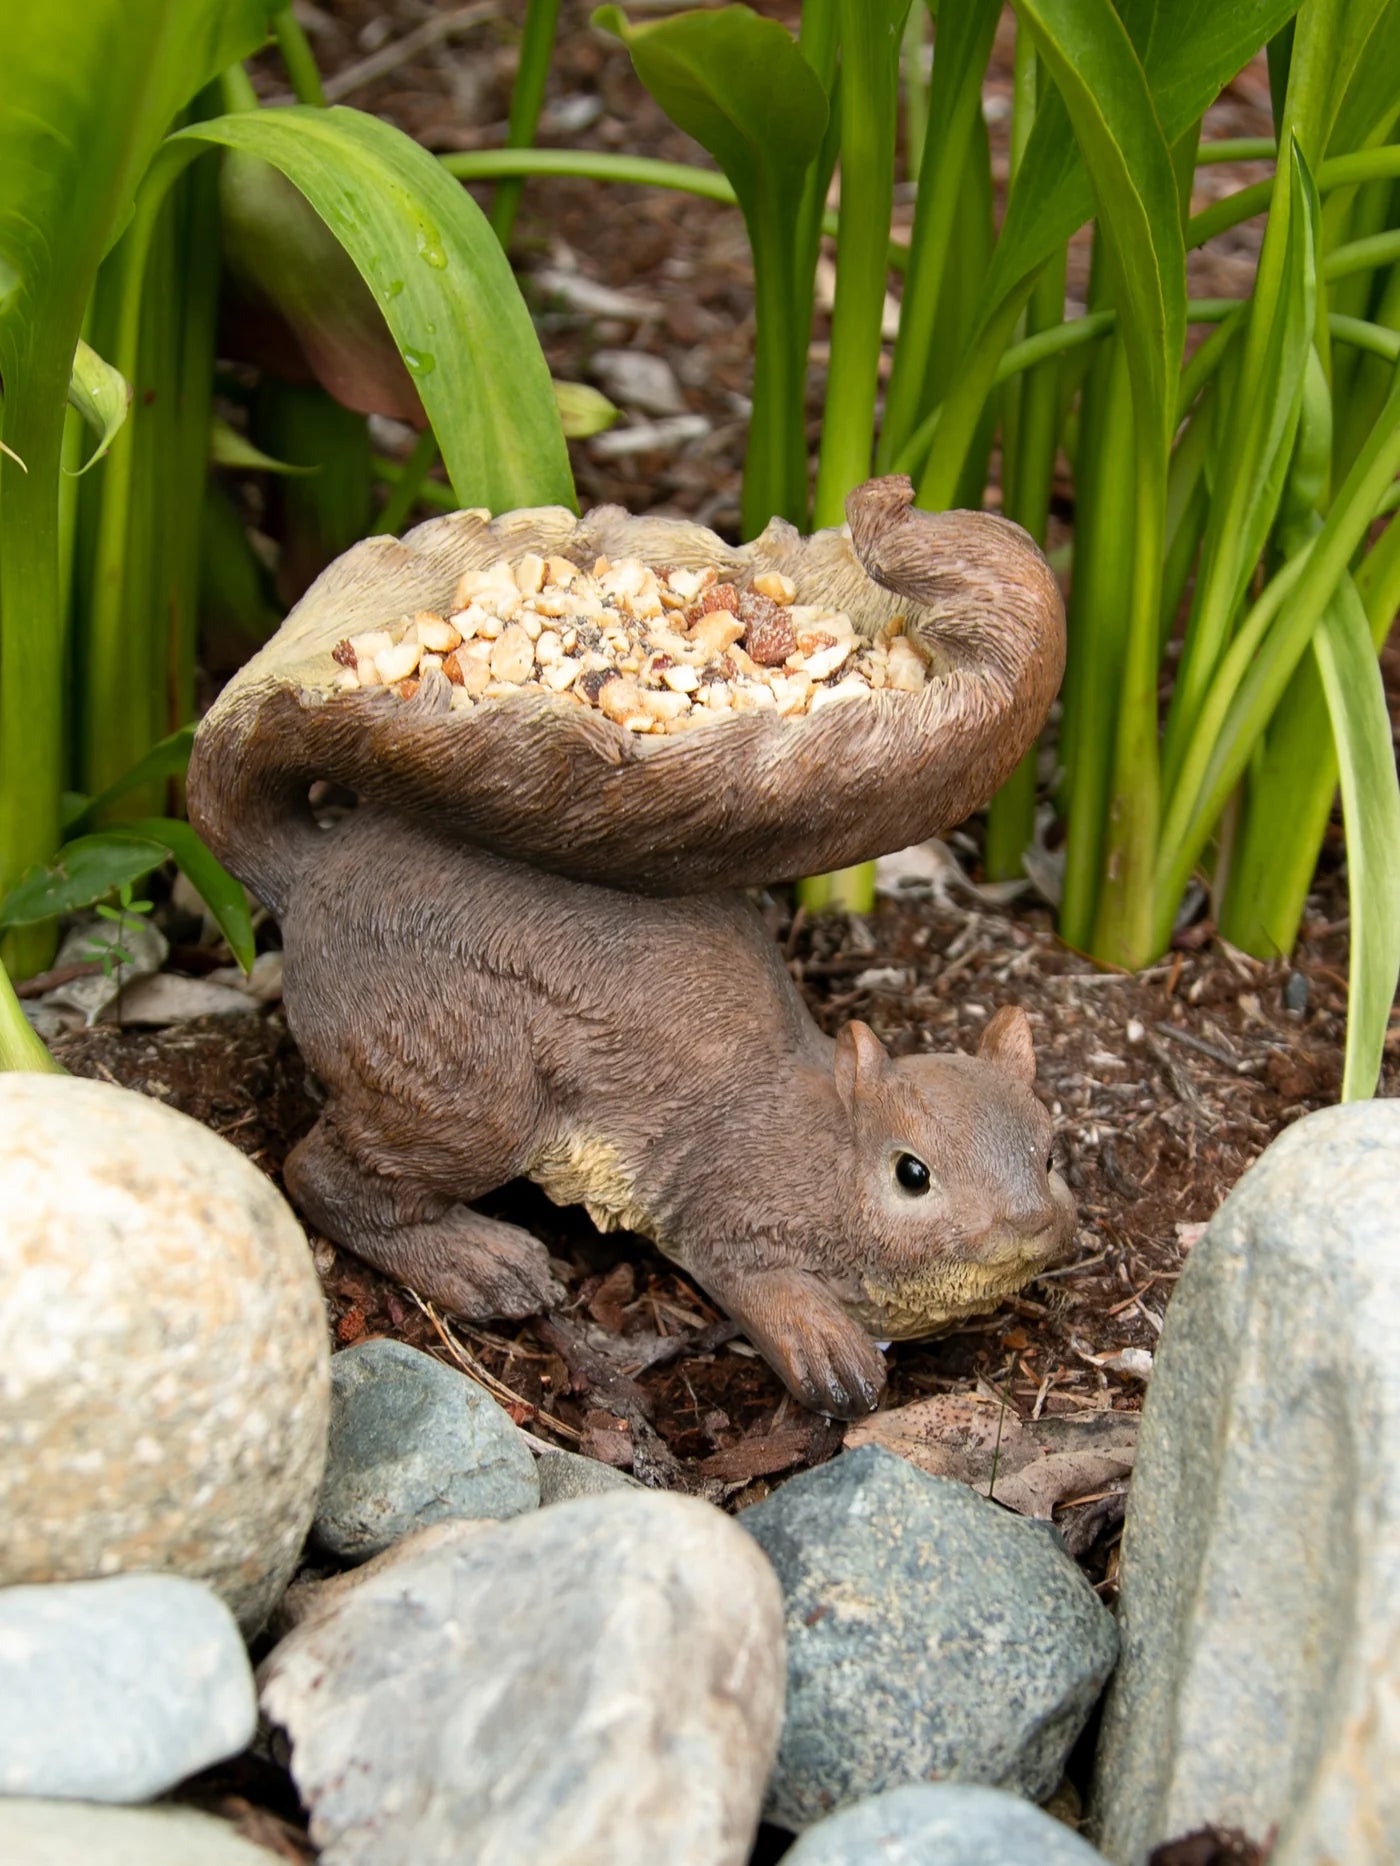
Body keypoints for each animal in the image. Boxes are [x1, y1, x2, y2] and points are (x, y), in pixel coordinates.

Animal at [189, 477, 1073, 1418]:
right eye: (912, 1174)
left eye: (1052, 1153)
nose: (1027, 1224)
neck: (825, 1144)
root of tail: (308, 879)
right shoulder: (725, 1205)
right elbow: (751, 1280)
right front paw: (827, 1347)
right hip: (452, 1080)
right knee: (317, 1174)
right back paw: (480, 1263)